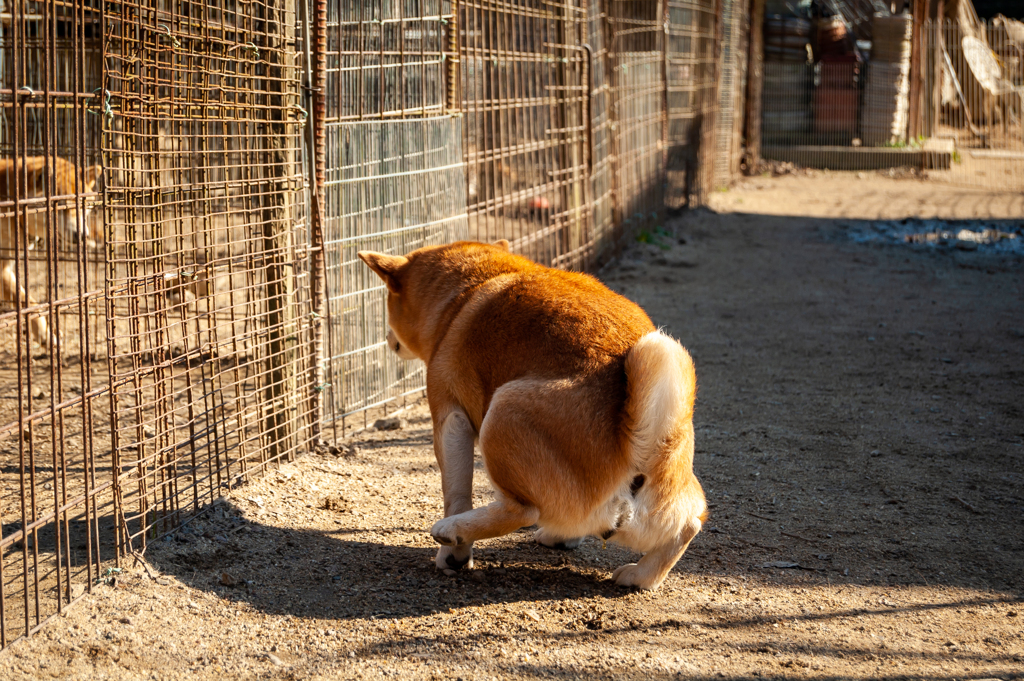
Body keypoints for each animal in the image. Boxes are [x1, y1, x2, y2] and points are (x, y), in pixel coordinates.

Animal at [358, 240, 704, 589]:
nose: (387, 339)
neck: (468, 289)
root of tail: (643, 452)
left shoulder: (450, 418)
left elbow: (455, 492)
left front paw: (454, 555)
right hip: (669, 503)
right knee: (690, 523)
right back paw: (639, 573)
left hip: (501, 412)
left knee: (523, 512)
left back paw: (453, 529)